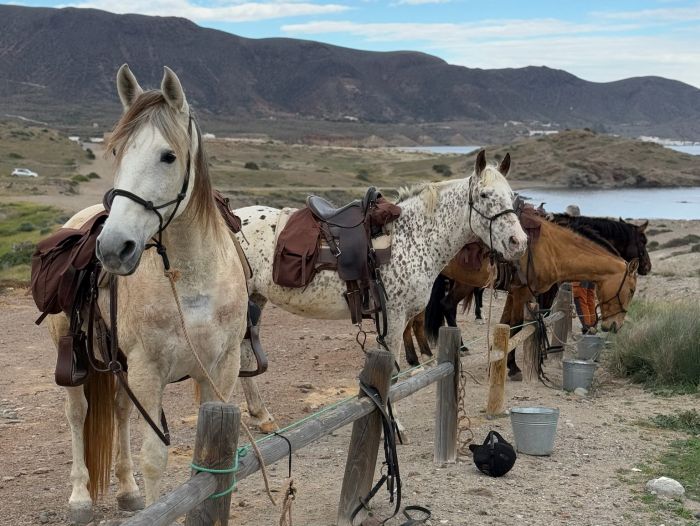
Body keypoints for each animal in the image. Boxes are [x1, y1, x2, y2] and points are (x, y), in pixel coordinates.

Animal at [45, 65, 249, 524]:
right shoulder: (148, 371)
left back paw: (127, 490)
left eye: (168, 156)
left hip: (118, 365)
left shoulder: (221, 370)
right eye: (117, 150)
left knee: (120, 411)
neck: (190, 280)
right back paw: (80, 497)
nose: (112, 248)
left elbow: (212, 462)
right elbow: (155, 458)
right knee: (76, 413)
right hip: (76, 357)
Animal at [238, 152, 528, 434]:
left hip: (255, 302)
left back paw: (262, 417)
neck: (413, 238)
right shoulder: (395, 316)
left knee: (246, 355)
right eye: (484, 195)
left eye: (511, 195)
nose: (519, 242)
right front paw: (395, 422)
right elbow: (394, 372)